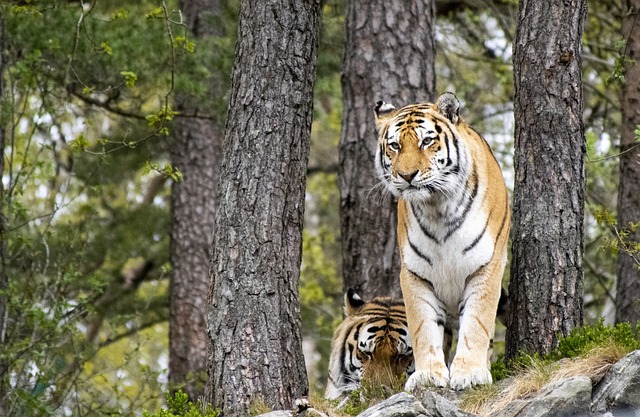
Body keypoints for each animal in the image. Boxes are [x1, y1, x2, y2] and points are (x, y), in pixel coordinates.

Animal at [372, 92, 512, 390]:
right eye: (395, 146)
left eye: (426, 141)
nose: (407, 175)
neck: (437, 208)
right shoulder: (415, 274)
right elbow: (423, 328)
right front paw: (427, 375)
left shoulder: (486, 267)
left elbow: (477, 322)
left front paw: (470, 373)